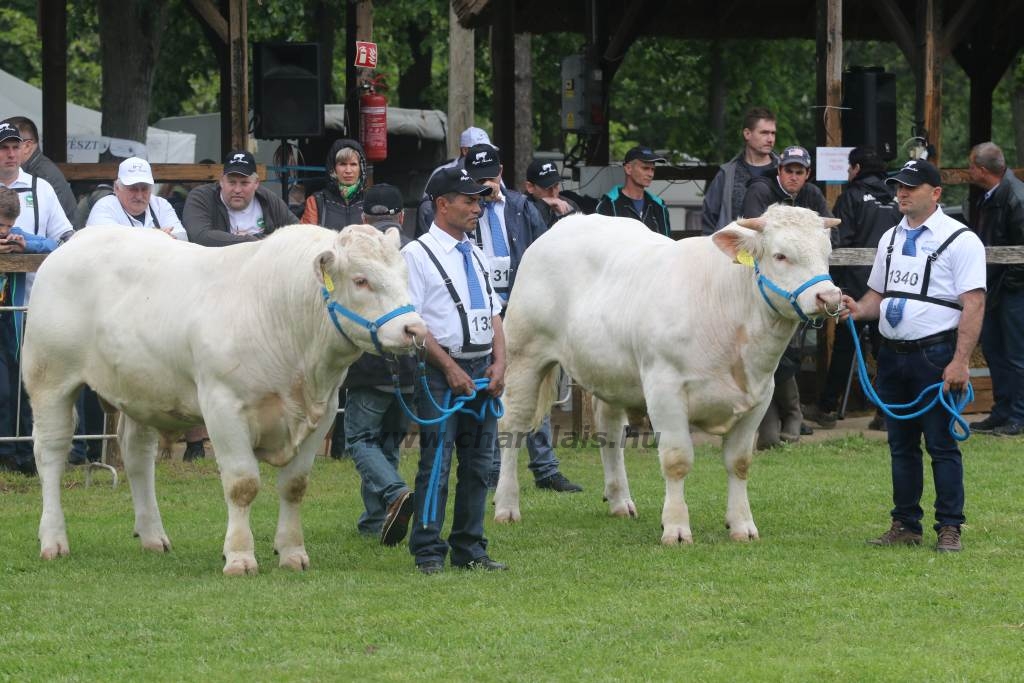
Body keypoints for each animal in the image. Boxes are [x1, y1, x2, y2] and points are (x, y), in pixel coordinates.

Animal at [24, 225, 425, 577]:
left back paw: (153, 536)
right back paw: (53, 540)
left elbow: (295, 486)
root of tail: (81, 237)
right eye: (361, 280)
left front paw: (292, 553)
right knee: (51, 454)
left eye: (405, 276)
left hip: (140, 390)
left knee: (137, 456)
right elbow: (242, 484)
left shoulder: (323, 413)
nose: (415, 329)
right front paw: (239, 556)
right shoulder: (223, 406)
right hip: (50, 379)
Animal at [493, 205, 839, 540]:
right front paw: (675, 527)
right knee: (513, 426)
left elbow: (739, 463)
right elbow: (676, 460)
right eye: (781, 255)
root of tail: (568, 223)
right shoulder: (664, 389)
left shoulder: (760, 395)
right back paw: (506, 506)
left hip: (609, 372)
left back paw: (619, 501)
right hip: (524, 356)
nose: (830, 297)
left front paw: (742, 525)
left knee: (609, 431)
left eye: (827, 253)